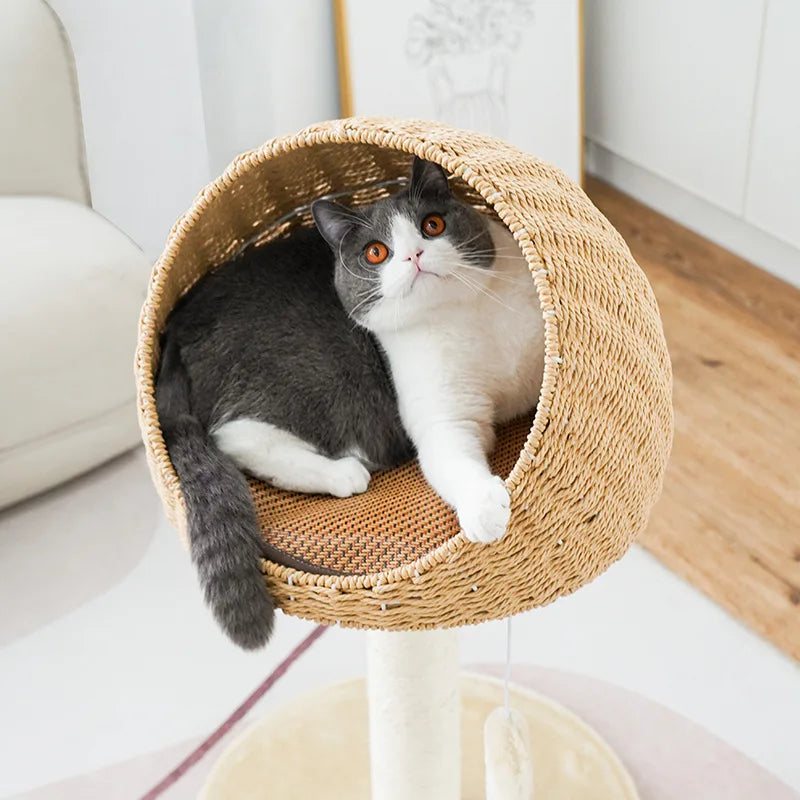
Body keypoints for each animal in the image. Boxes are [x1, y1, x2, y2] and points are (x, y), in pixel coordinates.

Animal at [156, 158, 544, 648]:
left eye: (432, 225)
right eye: (376, 253)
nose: (414, 256)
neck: (468, 317)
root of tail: (176, 328)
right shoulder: (440, 413)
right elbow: (451, 458)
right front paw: (485, 510)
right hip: (310, 374)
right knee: (233, 434)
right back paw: (343, 474)